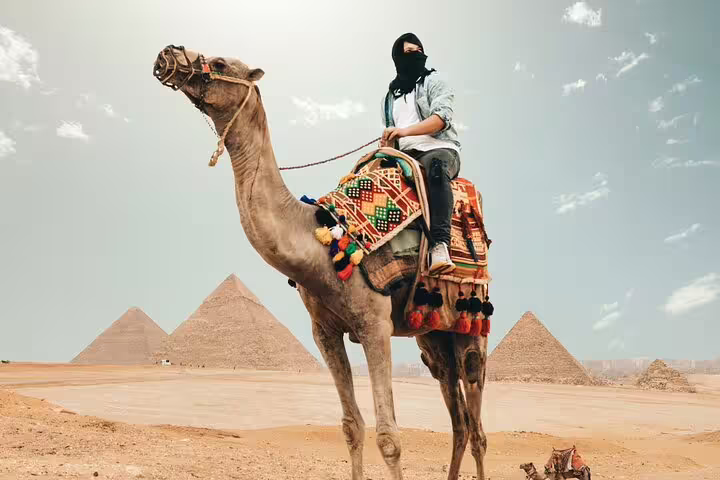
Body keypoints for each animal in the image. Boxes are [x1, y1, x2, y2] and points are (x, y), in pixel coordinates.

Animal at [152, 45, 489, 480]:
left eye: (222, 63)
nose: (169, 53)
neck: (320, 243)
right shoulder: (324, 332)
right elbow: (351, 427)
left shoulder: (374, 325)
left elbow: (389, 437)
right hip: (433, 335)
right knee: (458, 419)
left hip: (471, 325)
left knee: (477, 422)